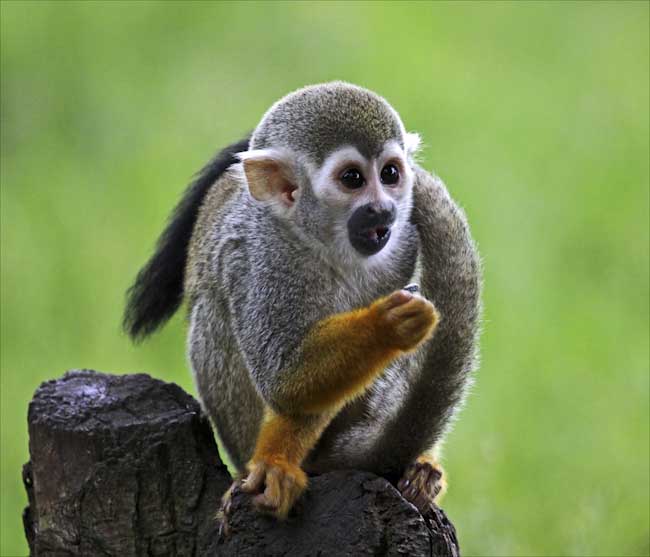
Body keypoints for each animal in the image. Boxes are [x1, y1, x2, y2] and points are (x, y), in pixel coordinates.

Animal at [124, 82, 481, 522]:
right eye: (352, 179)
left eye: (390, 174)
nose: (383, 208)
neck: (323, 244)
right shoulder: (264, 256)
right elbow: (284, 378)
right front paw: (388, 325)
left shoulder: (401, 246)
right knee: (214, 315)